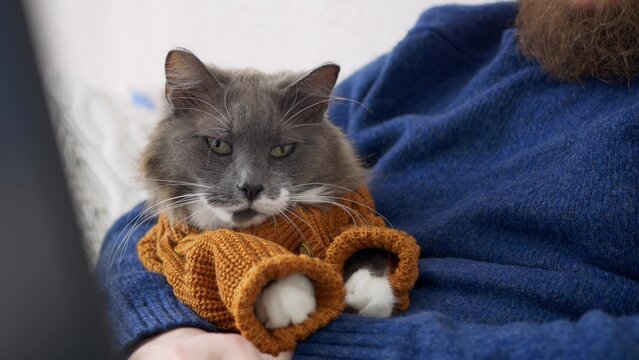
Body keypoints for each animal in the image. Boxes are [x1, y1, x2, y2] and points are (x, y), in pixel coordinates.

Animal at [142, 49, 398, 330]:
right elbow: (255, 261)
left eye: (281, 150)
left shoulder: (353, 210)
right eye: (219, 145)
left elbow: (363, 242)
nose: (251, 188)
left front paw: (369, 295)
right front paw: (290, 300)